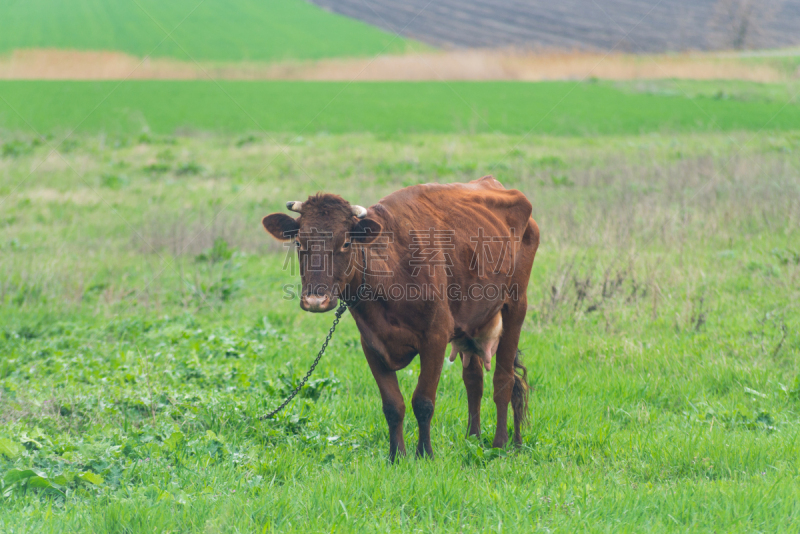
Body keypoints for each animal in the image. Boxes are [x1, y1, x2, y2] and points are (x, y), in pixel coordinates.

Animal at [262, 176, 536, 460]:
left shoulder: (436, 337)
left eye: (346, 242)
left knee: (504, 381)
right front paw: (397, 456)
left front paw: (425, 453)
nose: (316, 301)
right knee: (474, 380)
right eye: (299, 242)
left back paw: (501, 444)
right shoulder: (372, 343)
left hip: (516, 306)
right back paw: (473, 438)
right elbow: (393, 405)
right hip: (471, 325)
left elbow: (423, 400)